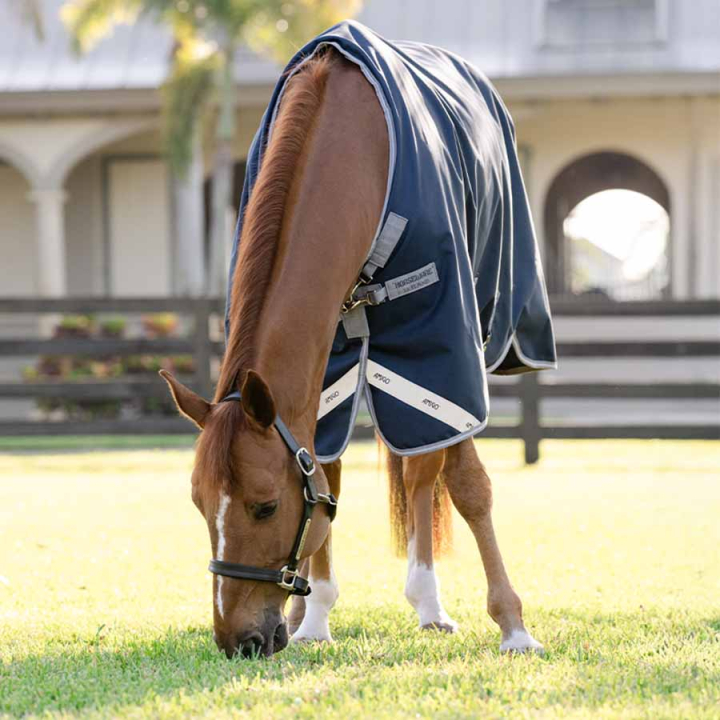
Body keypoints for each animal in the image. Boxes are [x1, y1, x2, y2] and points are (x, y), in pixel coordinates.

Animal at [161, 38, 546, 659]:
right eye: (199, 504)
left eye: (265, 506)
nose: (238, 640)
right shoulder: (327, 368)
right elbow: (325, 475)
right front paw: (315, 616)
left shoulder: (445, 346)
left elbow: (467, 485)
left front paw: (513, 626)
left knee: (424, 473)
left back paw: (429, 603)